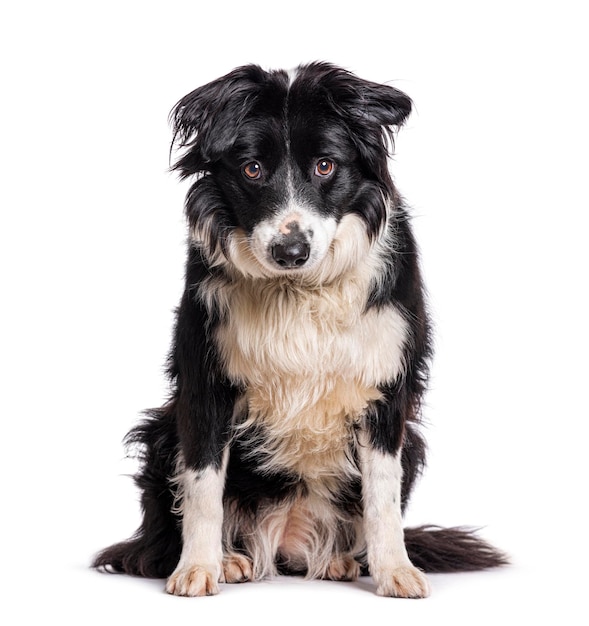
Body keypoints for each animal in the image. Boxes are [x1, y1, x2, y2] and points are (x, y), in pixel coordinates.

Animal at [93, 62, 506, 596]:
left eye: (325, 166)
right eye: (252, 169)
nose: (290, 252)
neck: (299, 289)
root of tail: (286, 540)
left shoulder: (387, 391)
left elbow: (382, 498)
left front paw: (395, 570)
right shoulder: (204, 382)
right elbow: (203, 486)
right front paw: (198, 568)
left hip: (411, 444)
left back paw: (340, 560)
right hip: (162, 431)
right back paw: (230, 560)